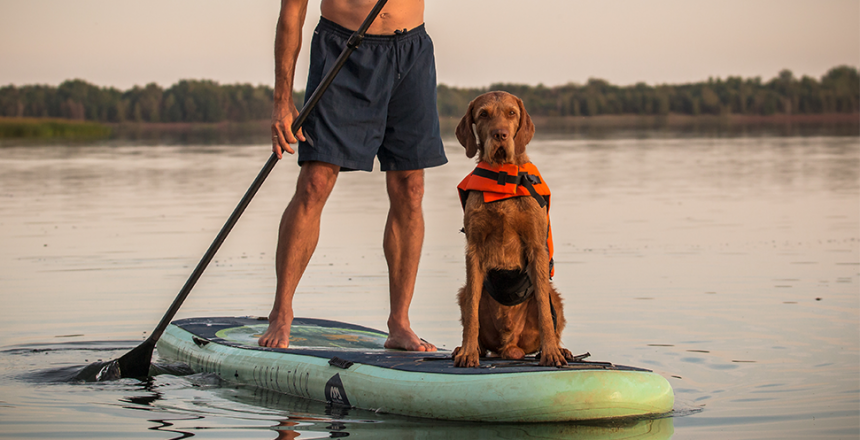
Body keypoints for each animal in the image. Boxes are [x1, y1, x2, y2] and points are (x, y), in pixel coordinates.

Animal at [450, 90, 572, 368]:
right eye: (483, 114)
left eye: (512, 113)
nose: (500, 135)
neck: (501, 176)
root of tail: (510, 345)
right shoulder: (473, 249)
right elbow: (471, 312)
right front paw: (468, 352)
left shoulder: (536, 247)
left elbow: (544, 310)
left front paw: (551, 352)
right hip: (463, 293)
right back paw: (467, 348)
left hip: (556, 299)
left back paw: (561, 349)